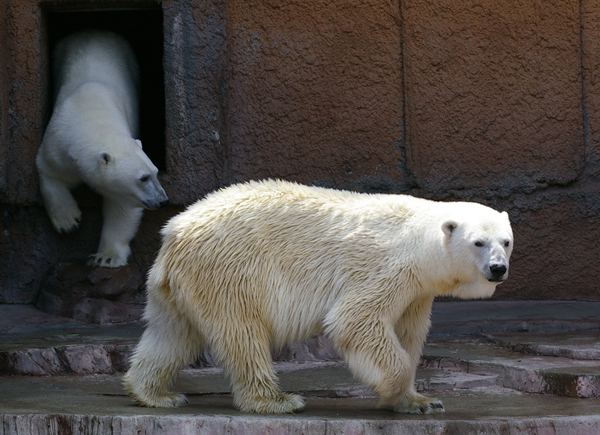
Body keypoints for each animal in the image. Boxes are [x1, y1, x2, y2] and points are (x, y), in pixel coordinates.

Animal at [36, 30, 168, 268]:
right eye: (143, 178)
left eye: (155, 172)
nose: (163, 201)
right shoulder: (58, 144)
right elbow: (49, 172)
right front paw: (68, 221)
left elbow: (121, 208)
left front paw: (105, 256)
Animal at [124, 181, 512, 416]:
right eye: (478, 242)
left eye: (505, 241)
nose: (498, 268)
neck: (419, 239)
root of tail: (174, 231)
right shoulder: (387, 268)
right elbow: (355, 320)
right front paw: (392, 390)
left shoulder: (417, 291)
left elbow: (409, 333)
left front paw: (421, 401)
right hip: (231, 270)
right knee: (241, 333)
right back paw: (278, 400)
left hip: (183, 282)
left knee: (171, 334)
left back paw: (155, 393)